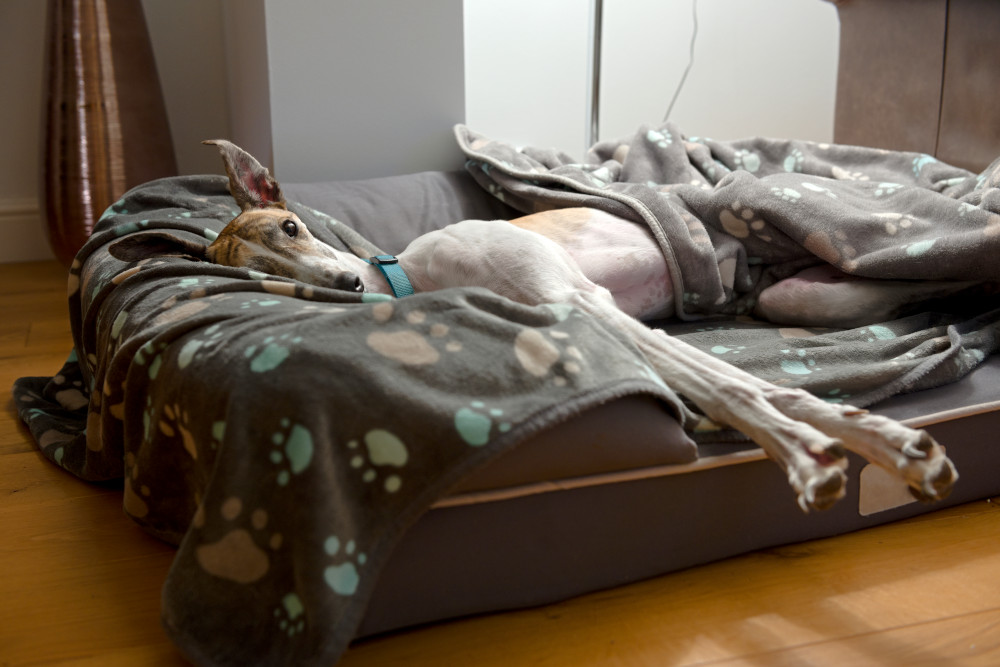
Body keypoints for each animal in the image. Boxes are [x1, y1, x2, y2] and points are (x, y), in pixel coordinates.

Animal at [107, 141, 952, 512]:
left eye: (289, 225)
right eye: (267, 276)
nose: (344, 287)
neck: (419, 274)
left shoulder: (581, 298)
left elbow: (738, 387)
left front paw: (840, 451)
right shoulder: (584, 312)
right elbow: (733, 389)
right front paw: (843, 446)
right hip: (802, 300)